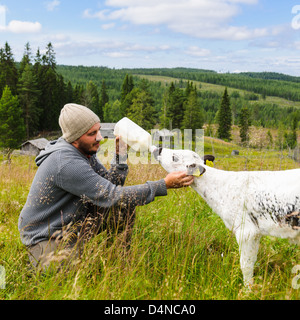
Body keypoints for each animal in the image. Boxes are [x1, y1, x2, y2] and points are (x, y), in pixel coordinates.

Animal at [155, 149, 300, 286]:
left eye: (174, 157)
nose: (158, 148)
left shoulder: (245, 231)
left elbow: (246, 265)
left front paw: (247, 290)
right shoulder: (256, 232)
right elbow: (252, 260)